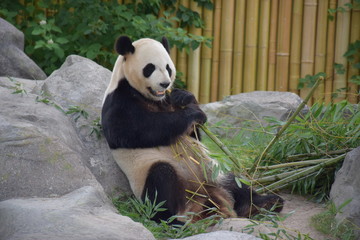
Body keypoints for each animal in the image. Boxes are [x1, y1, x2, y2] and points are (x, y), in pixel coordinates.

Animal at [102, 35, 284, 223]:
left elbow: (194, 134)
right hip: (147, 174)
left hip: (213, 172)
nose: (165, 83)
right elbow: (133, 130)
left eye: (168, 68)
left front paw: (185, 97)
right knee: (161, 182)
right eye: (150, 68)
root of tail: (202, 204)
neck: (152, 99)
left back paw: (265, 203)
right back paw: (172, 220)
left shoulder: (166, 101)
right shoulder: (118, 101)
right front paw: (194, 113)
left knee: (235, 181)